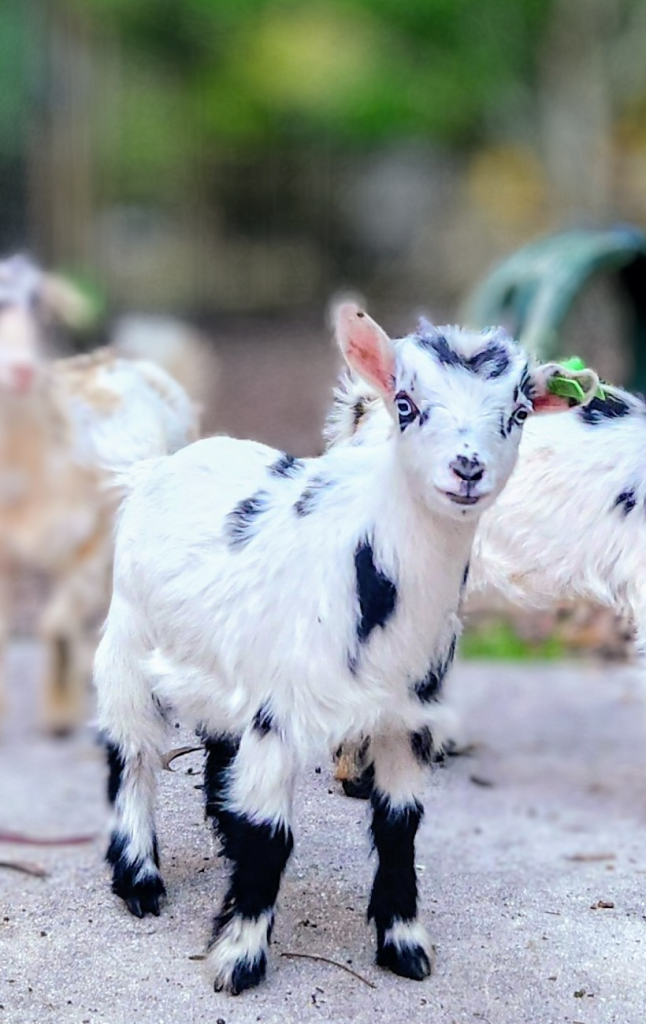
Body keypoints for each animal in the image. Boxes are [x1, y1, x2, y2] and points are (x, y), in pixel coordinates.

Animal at [95, 303, 594, 994]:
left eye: (519, 412)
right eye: (406, 404)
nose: (468, 469)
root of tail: (159, 465)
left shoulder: (409, 712)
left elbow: (400, 824)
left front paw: (405, 945)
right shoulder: (278, 709)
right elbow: (271, 835)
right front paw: (239, 959)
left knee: (215, 738)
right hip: (128, 635)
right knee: (132, 749)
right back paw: (140, 880)